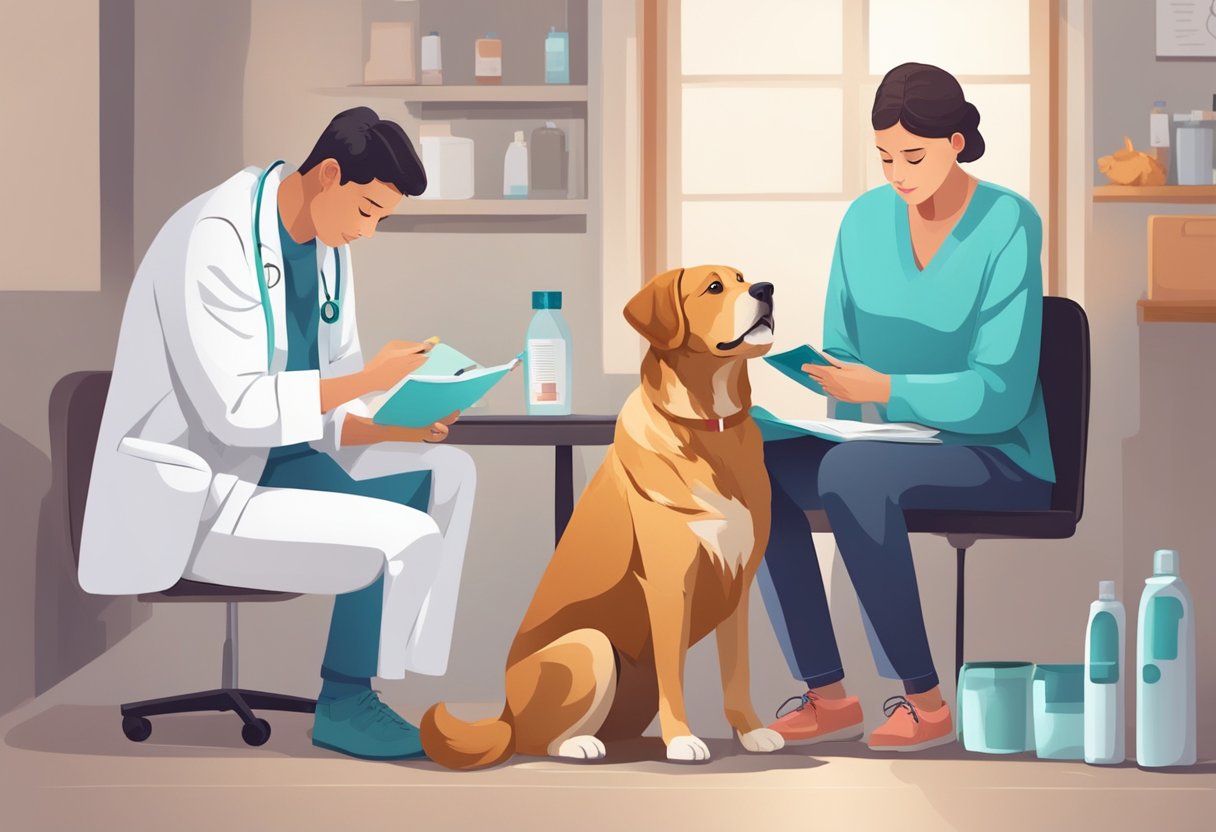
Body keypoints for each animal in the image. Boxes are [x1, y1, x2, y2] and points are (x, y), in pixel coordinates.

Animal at [418, 265, 778, 768]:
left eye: (744, 277)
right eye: (713, 287)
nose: (767, 289)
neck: (711, 428)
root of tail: (504, 715)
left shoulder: (738, 587)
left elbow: (737, 673)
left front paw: (752, 731)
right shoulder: (669, 586)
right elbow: (675, 676)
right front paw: (683, 740)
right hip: (592, 645)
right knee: (538, 741)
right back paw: (581, 744)